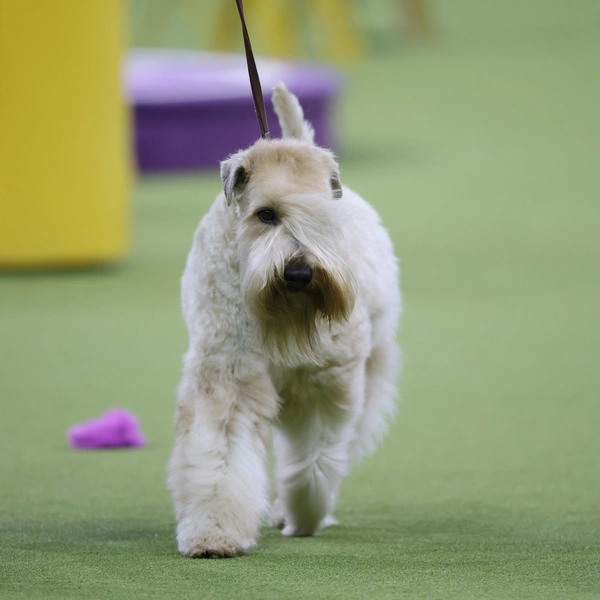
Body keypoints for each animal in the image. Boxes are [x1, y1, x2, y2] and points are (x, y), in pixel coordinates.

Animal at [169, 83, 400, 556]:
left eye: (324, 216)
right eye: (266, 214)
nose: (299, 273)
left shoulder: (324, 384)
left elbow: (314, 461)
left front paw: (306, 514)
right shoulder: (228, 376)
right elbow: (218, 458)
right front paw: (213, 532)